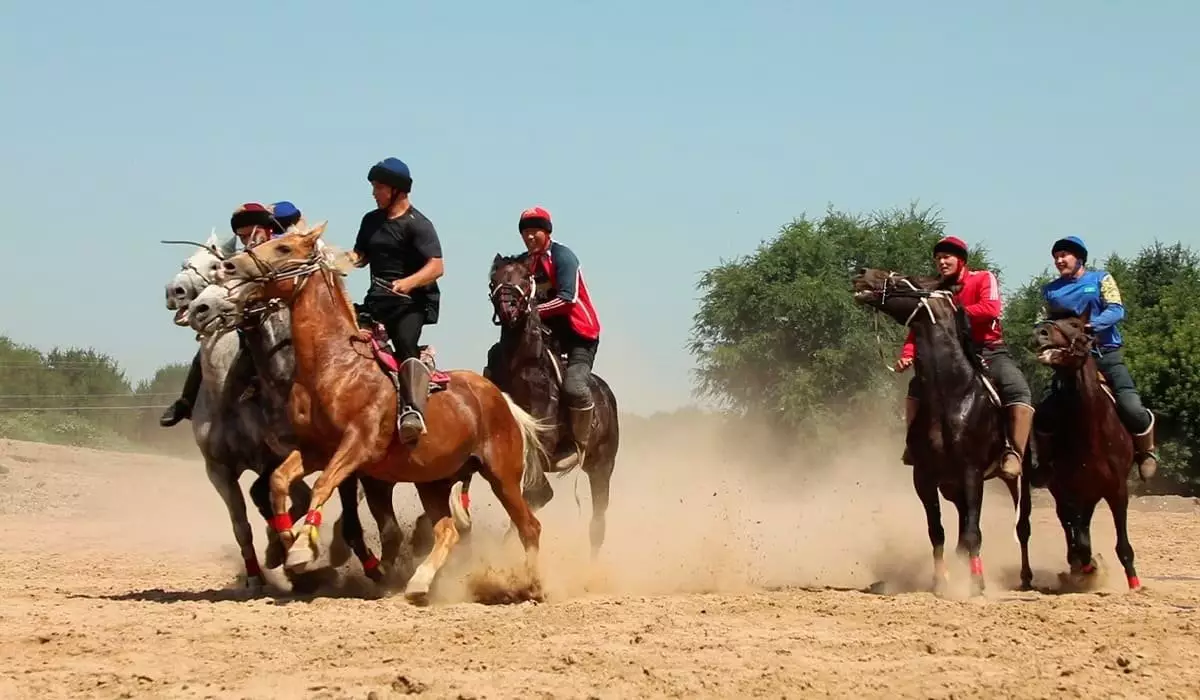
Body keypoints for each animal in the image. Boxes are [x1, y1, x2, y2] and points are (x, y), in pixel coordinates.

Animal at [164, 235, 400, 590]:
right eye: (185, 262)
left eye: (218, 264)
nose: (180, 295)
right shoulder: (219, 468)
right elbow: (245, 521)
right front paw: (261, 570)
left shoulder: (285, 455)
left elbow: (306, 498)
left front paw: (293, 554)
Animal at [204, 223, 549, 602]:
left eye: (283, 248)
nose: (229, 267)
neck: (335, 366)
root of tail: (500, 398)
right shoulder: (316, 450)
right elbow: (280, 480)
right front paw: (288, 542)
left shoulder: (358, 446)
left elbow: (323, 485)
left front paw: (302, 547)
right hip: (434, 480)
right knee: (447, 530)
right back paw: (419, 582)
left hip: (502, 475)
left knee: (529, 526)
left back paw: (532, 585)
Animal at [849, 268, 1036, 597]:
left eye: (905, 281)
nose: (861, 274)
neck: (952, 394)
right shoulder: (924, 476)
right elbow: (937, 531)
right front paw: (942, 581)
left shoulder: (972, 473)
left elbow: (973, 533)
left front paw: (974, 585)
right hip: (952, 487)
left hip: (1016, 478)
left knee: (1021, 525)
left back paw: (1024, 577)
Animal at [1032, 312, 1142, 590]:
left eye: (1075, 324)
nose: (1039, 333)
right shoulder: (1068, 489)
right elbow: (1078, 537)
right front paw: (1085, 565)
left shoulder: (1117, 489)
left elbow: (1121, 541)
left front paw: (1134, 581)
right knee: (1069, 524)